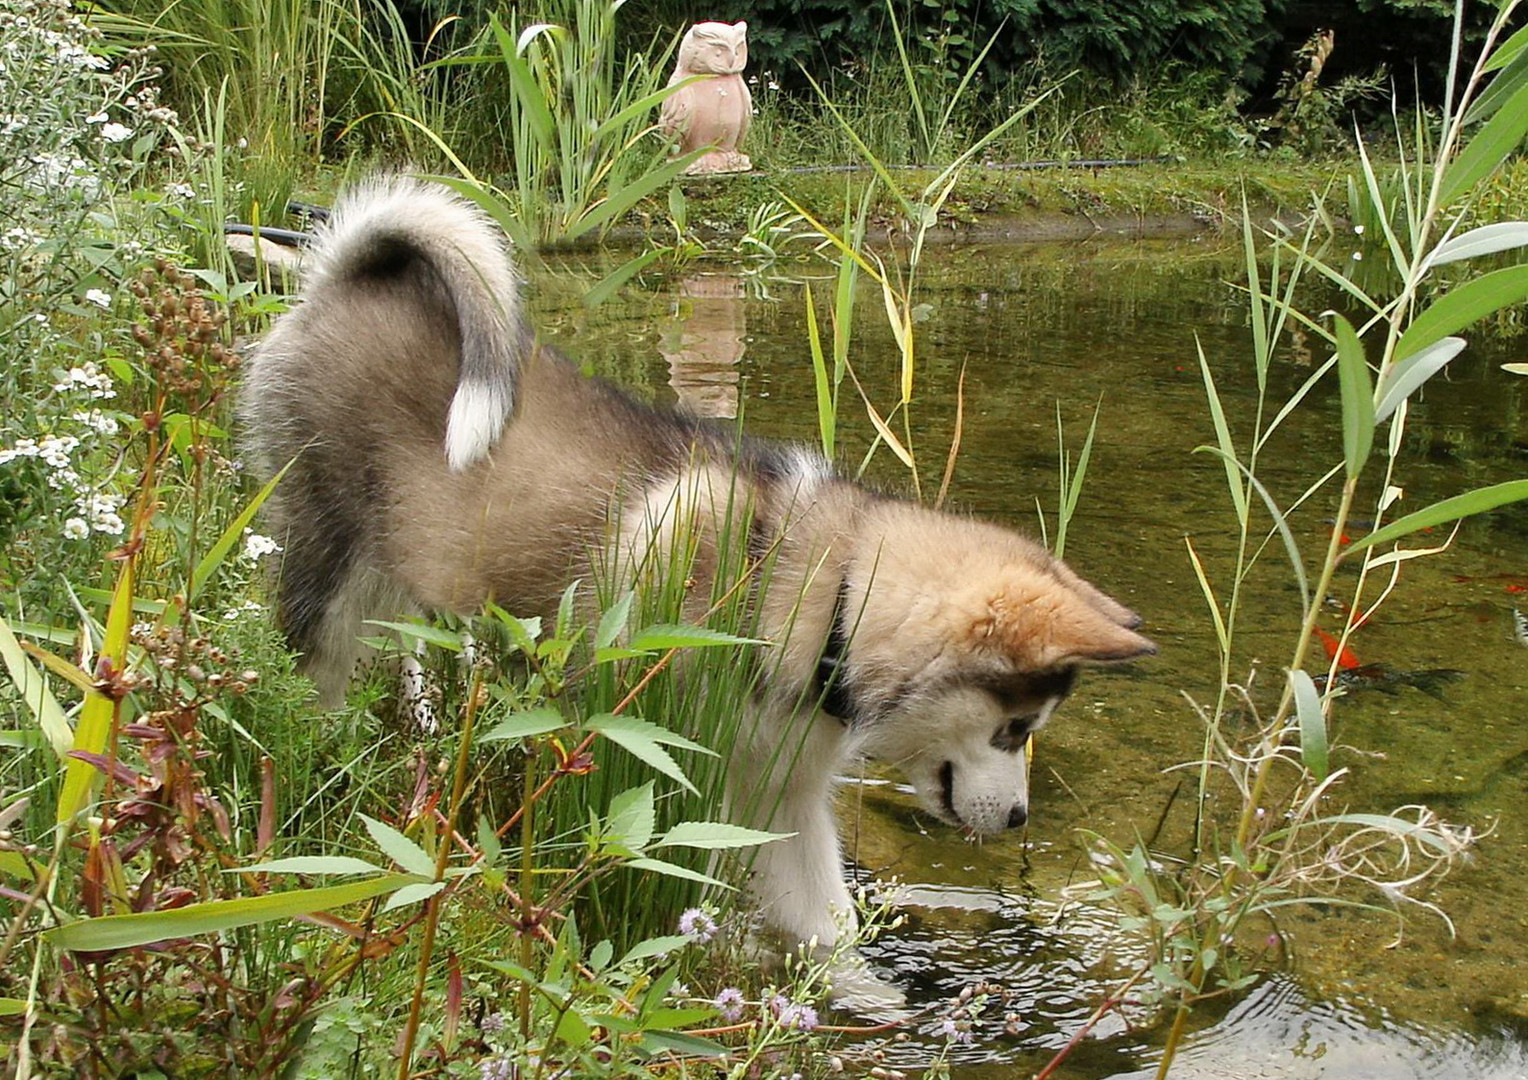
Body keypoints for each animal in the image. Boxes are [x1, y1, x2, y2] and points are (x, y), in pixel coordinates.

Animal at [241, 177, 1155, 953]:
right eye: (1015, 727)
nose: (1022, 822)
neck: (820, 591)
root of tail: (347, 273)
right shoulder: (630, 743)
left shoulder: (783, 798)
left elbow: (827, 933)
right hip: (326, 560)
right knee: (314, 668)